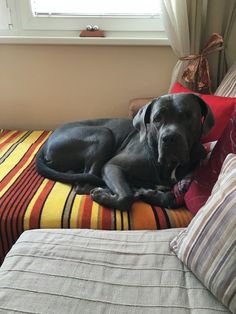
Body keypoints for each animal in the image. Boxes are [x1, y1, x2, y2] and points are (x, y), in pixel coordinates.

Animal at [36, 93, 215, 211]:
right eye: (157, 118)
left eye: (189, 116)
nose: (169, 138)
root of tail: (46, 144)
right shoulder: (112, 166)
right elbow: (126, 197)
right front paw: (105, 195)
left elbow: (172, 198)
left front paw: (148, 193)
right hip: (103, 133)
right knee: (83, 184)